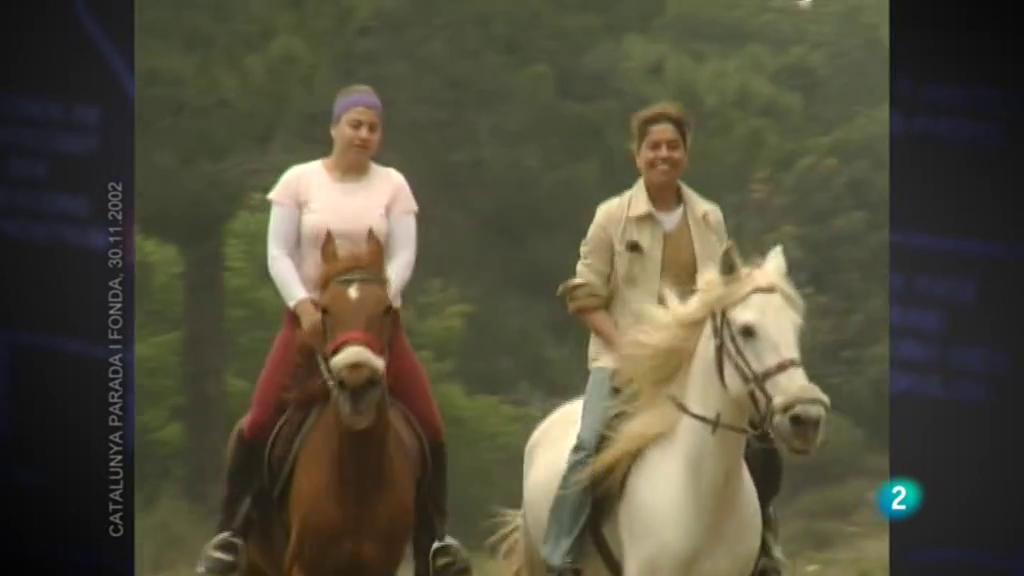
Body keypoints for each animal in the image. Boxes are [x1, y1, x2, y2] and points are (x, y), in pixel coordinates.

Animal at [237, 230, 428, 576]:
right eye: (324, 310)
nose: (356, 385)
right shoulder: (304, 564)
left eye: (386, 309)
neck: (355, 478)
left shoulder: (380, 565)